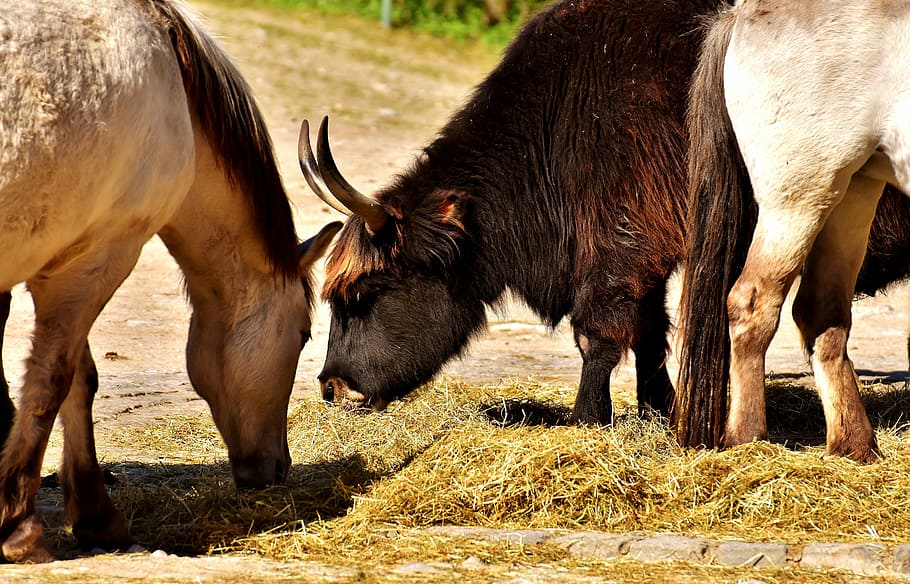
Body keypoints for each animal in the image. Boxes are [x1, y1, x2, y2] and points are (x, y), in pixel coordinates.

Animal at [0, 0, 341, 562]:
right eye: (303, 335)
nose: (279, 468)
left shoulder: (78, 256)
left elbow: (75, 382)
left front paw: (94, 515)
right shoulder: (100, 256)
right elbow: (58, 382)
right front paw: (24, 530)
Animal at [676, 0, 910, 461]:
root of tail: (741, 13)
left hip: (851, 191)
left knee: (822, 314)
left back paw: (854, 445)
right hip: (799, 196)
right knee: (753, 303)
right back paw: (748, 437)